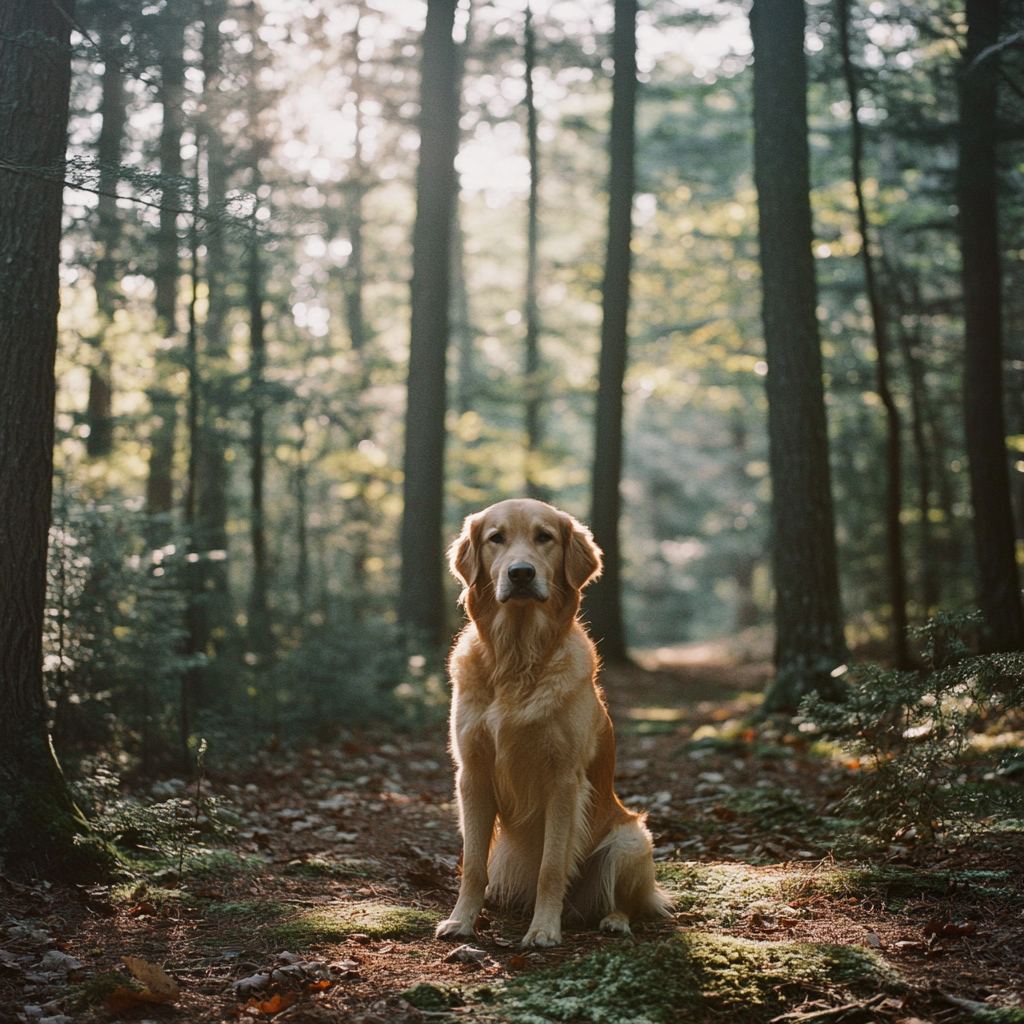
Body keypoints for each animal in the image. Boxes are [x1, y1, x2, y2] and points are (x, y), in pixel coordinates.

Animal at [434, 495, 667, 942]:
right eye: (496, 538)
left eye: (544, 537)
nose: (520, 573)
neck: (517, 658)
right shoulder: (472, 774)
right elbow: (472, 866)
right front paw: (461, 920)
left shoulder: (562, 780)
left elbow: (552, 865)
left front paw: (543, 930)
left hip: (632, 840)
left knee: (625, 900)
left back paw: (614, 920)